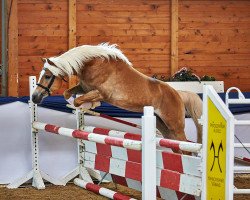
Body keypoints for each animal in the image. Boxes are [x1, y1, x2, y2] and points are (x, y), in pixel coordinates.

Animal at [31, 42, 203, 152]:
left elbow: (80, 100)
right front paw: (78, 105)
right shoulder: (84, 87)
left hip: (175, 125)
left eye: (47, 76)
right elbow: (68, 94)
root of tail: (178, 94)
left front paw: (87, 106)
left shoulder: (102, 93)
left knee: (185, 147)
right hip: (164, 126)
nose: (34, 97)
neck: (92, 65)